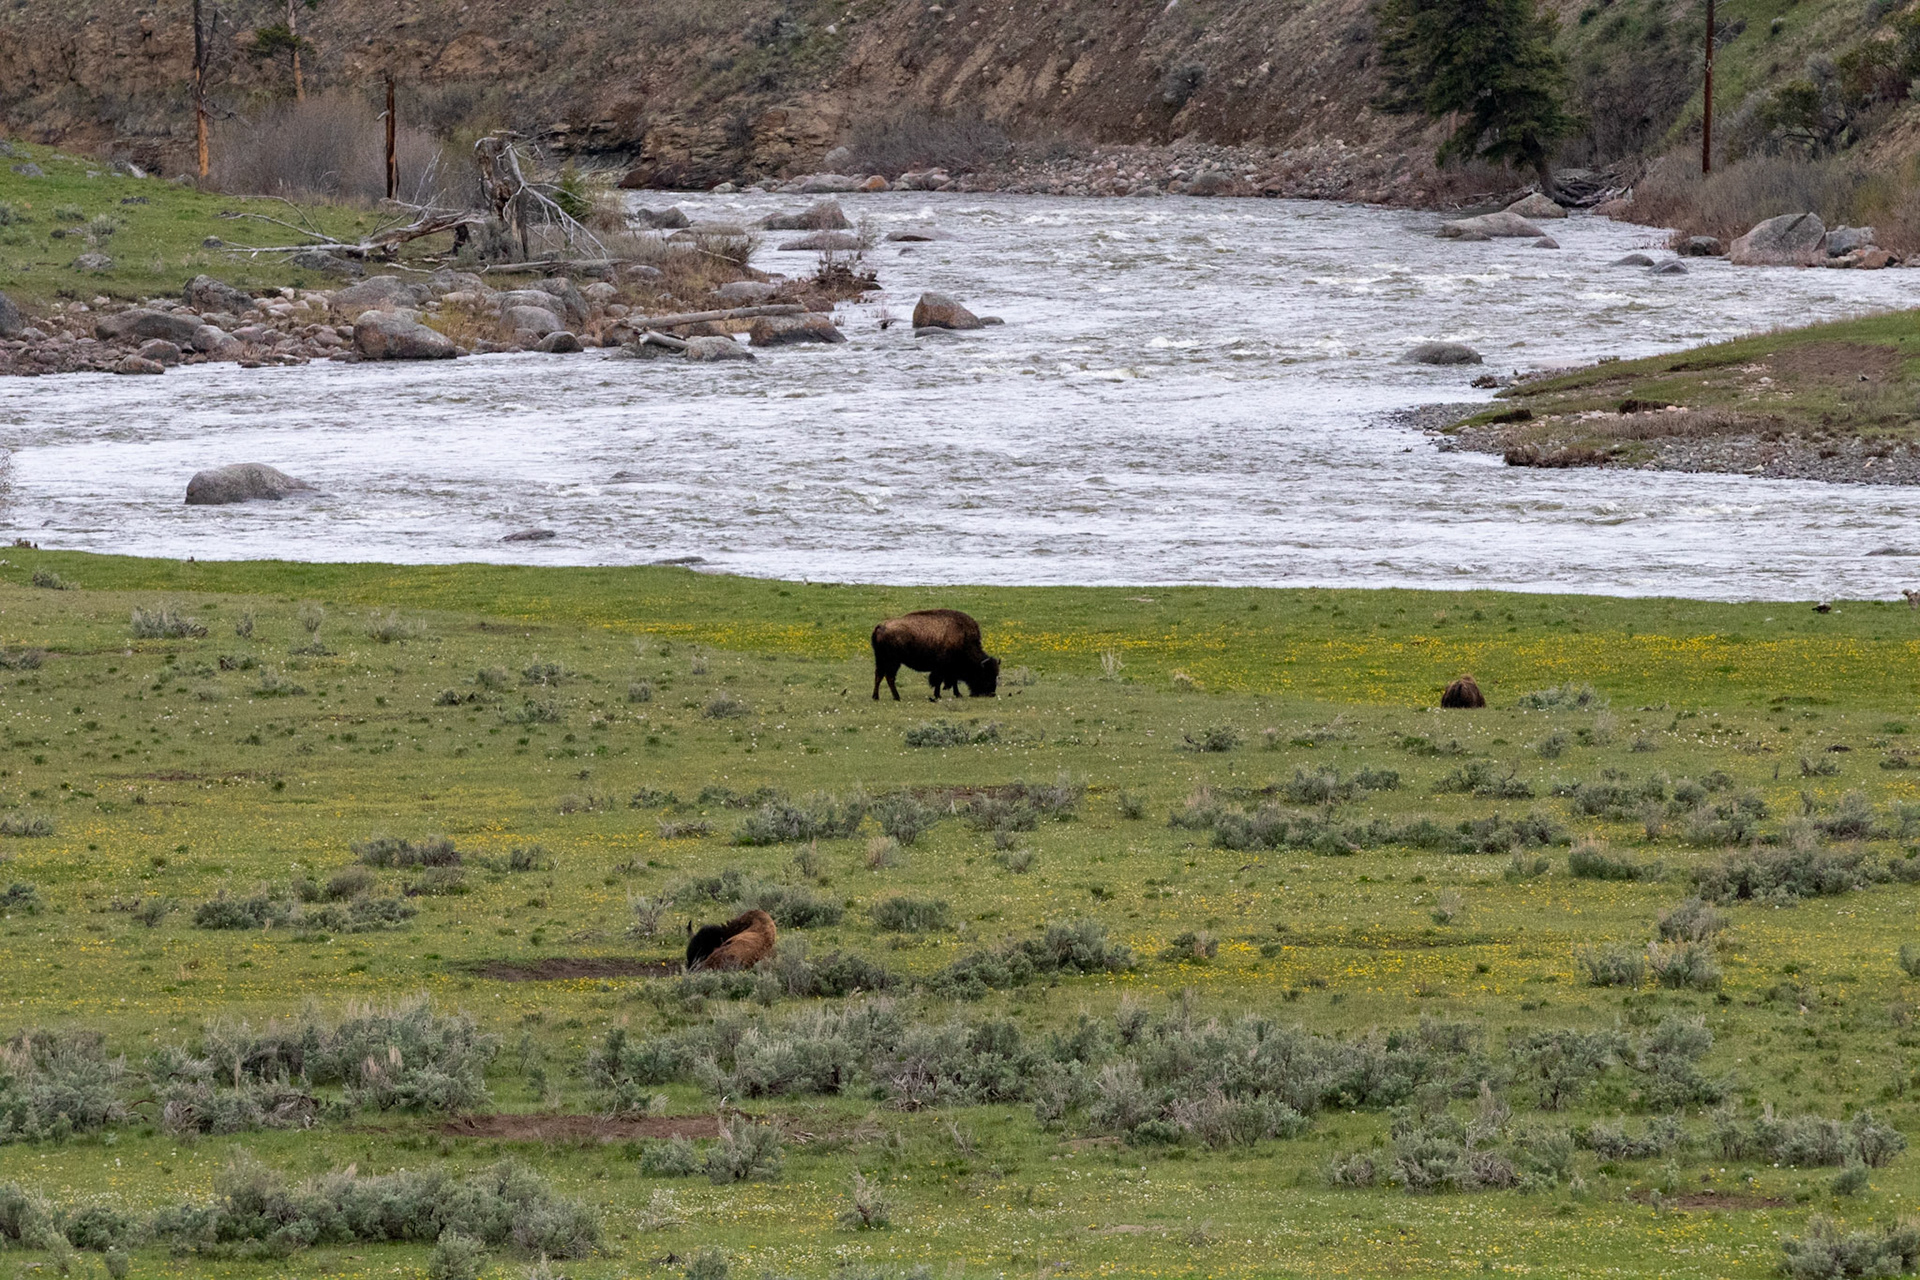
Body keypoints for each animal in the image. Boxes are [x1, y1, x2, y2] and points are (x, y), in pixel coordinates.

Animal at [871, 608, 1000, 701]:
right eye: (985, 674)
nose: (991, 693)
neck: (963, 637)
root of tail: (880, 626)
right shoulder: (943, 668)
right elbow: (940, 681)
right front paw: (939, 695)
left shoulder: (950, 669)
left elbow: (952, 681)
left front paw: (957, 694)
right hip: (892, 662)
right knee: (889, 677)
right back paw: (897, 697)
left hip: (880, 660)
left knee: (878, 675)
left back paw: (876, 697)